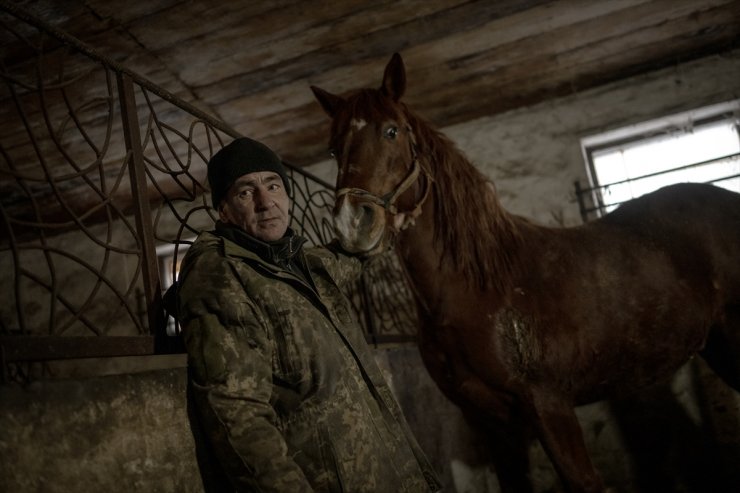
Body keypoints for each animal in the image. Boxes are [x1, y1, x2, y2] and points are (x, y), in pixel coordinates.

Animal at [310, 53, 740, 492]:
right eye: (333, 149)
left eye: (391, 131)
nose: (352, 223)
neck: (474, 290)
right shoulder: (494, 425)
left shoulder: (550, 407)